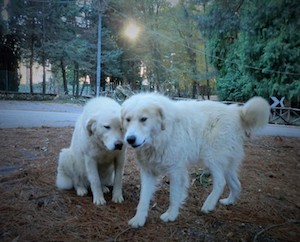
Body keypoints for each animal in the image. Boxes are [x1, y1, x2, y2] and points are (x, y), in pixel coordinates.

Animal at [120, 92, 270, 227]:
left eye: (143, 119)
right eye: (128, 119)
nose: (130, 139)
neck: (163, 133)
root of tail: (237, 111)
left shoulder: (176, 171)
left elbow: (174, 195)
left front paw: (171, 215)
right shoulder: (148, 171)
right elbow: (143, 198)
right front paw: (138, 219)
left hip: (212, 158)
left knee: (220, 182)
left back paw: (209, 205)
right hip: (227, 165)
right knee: (236, 184)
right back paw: (229, 201)